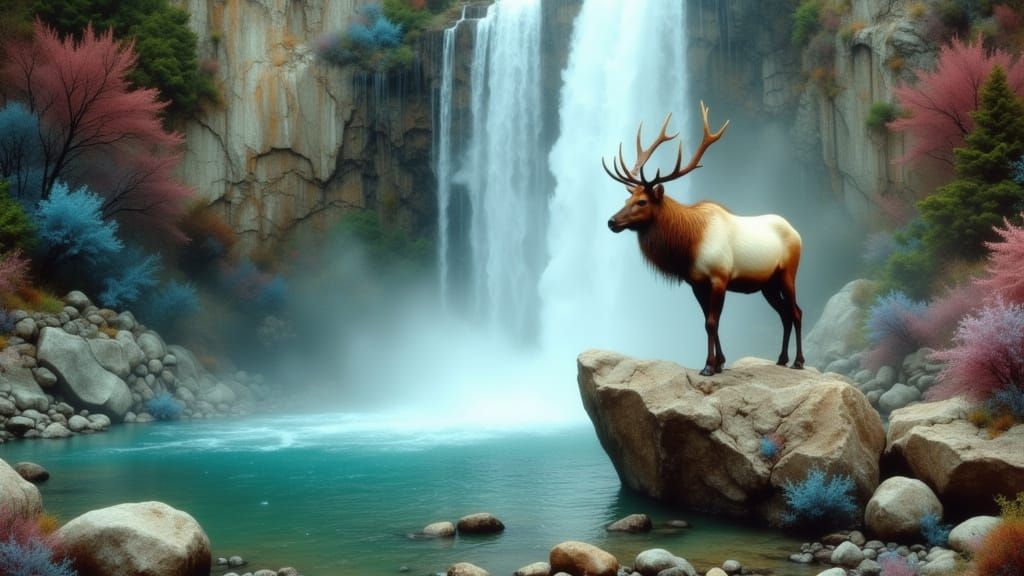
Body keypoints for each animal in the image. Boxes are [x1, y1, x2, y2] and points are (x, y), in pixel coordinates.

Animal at [602, 101, 804, 377]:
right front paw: (719, 362)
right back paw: (782, 359)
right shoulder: (696, 283)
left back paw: (798, 361)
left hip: (787, 274)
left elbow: (711, 322)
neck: (689, 244)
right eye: (627, 199)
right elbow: (708, 322)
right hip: (767, 284)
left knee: (796, 312)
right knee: (784, 314)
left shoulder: (719, 277)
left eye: (642, 201)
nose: (612, 222)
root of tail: (797, 233)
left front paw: (709, 366)